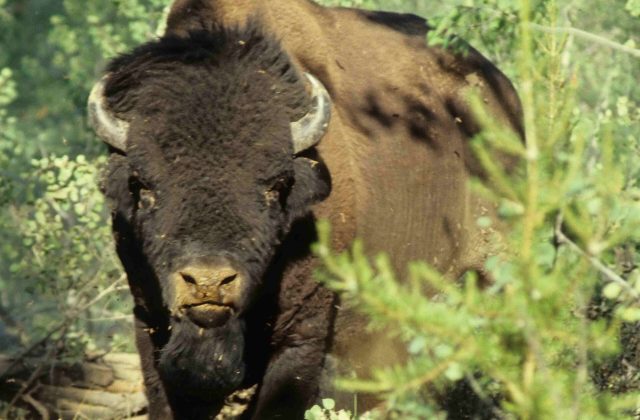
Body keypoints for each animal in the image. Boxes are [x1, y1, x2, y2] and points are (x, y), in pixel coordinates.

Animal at [88, 0, 523, 418]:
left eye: (276, 186)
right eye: (143, 186)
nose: (209, 282)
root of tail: (503, 94)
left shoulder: (303, 335)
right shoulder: (149, 325)